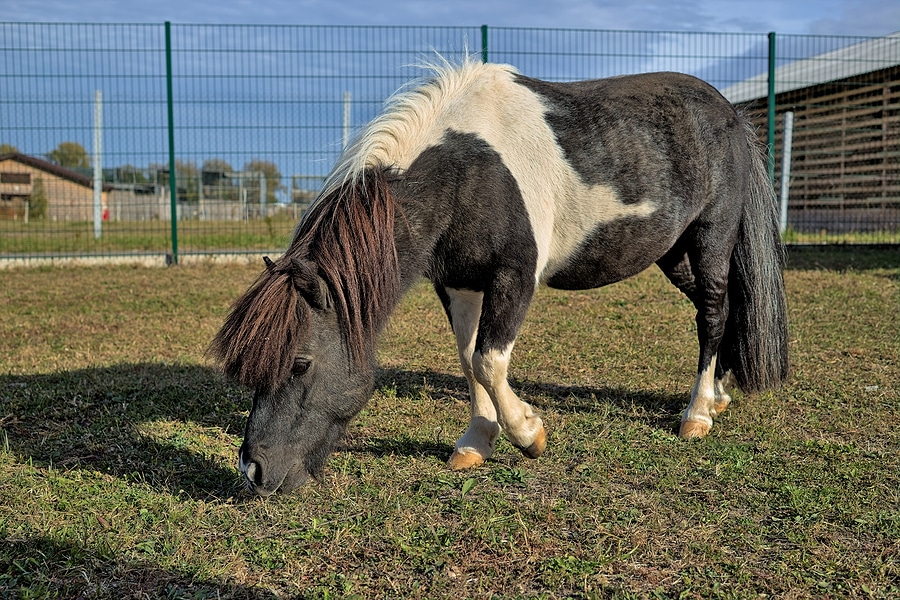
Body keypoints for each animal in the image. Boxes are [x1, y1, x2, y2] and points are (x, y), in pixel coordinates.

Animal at [211, 57, 788, 496]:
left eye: (301, 363)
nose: (252, 471)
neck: (466, 171)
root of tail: (730, 113)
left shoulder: (514, 277)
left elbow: (490, 360)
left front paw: (529, 435)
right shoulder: (458, 283)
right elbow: (469, 360)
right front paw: (474, 443)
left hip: (710, 239)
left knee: (712, 313)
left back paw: (697, 414)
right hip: (671, 252)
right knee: (720, 310)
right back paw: (719, 393)